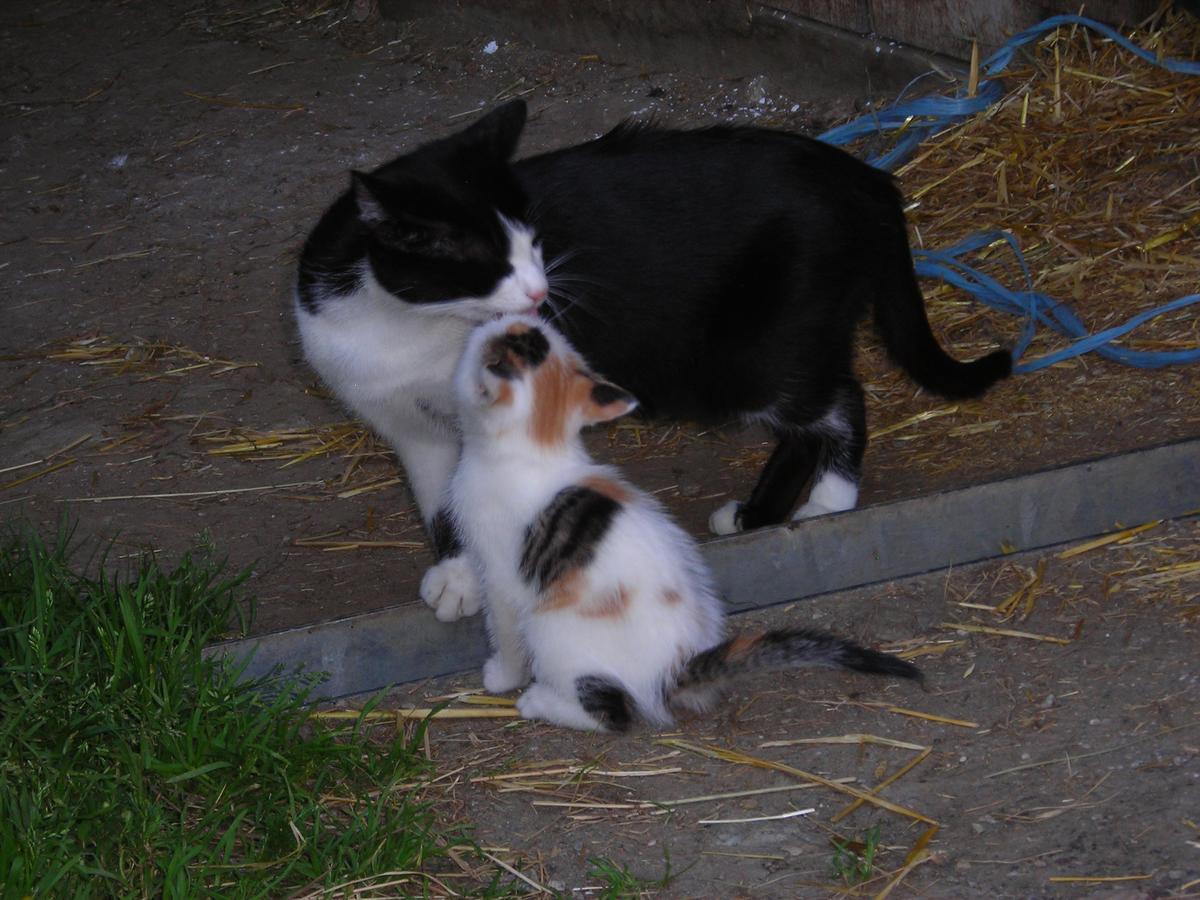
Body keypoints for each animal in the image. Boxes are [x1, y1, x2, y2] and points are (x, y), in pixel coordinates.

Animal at [295, 97, 1008, 619]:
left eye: (535, 245)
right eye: (492, 262)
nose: (543, 294)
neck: (409, 326)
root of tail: (866, 179)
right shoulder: (407, 425)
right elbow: (440, 501)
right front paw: (455, 572)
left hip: (748, 355)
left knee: (839, 401)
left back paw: (829, 501)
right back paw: (756, 516)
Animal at [451, 316, 916, 734]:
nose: (508, 315)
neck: (535, 452)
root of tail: (674, 669)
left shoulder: (499, 573)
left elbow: (502, 628)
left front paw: (501, 676)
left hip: (553, 630)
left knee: (612, 714)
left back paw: (540, 702)